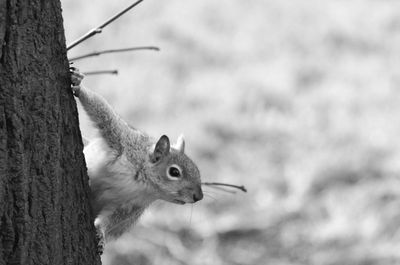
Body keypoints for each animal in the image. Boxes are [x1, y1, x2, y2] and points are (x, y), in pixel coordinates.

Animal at [69, 67, 203, 240]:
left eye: (198, 171)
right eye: (174, 172)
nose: (199, 197)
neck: (143, 184)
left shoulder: (130, 207)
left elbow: (114, 220)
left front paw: (101, 232)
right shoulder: (122, 140)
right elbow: (101, 111)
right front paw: (78, 85)